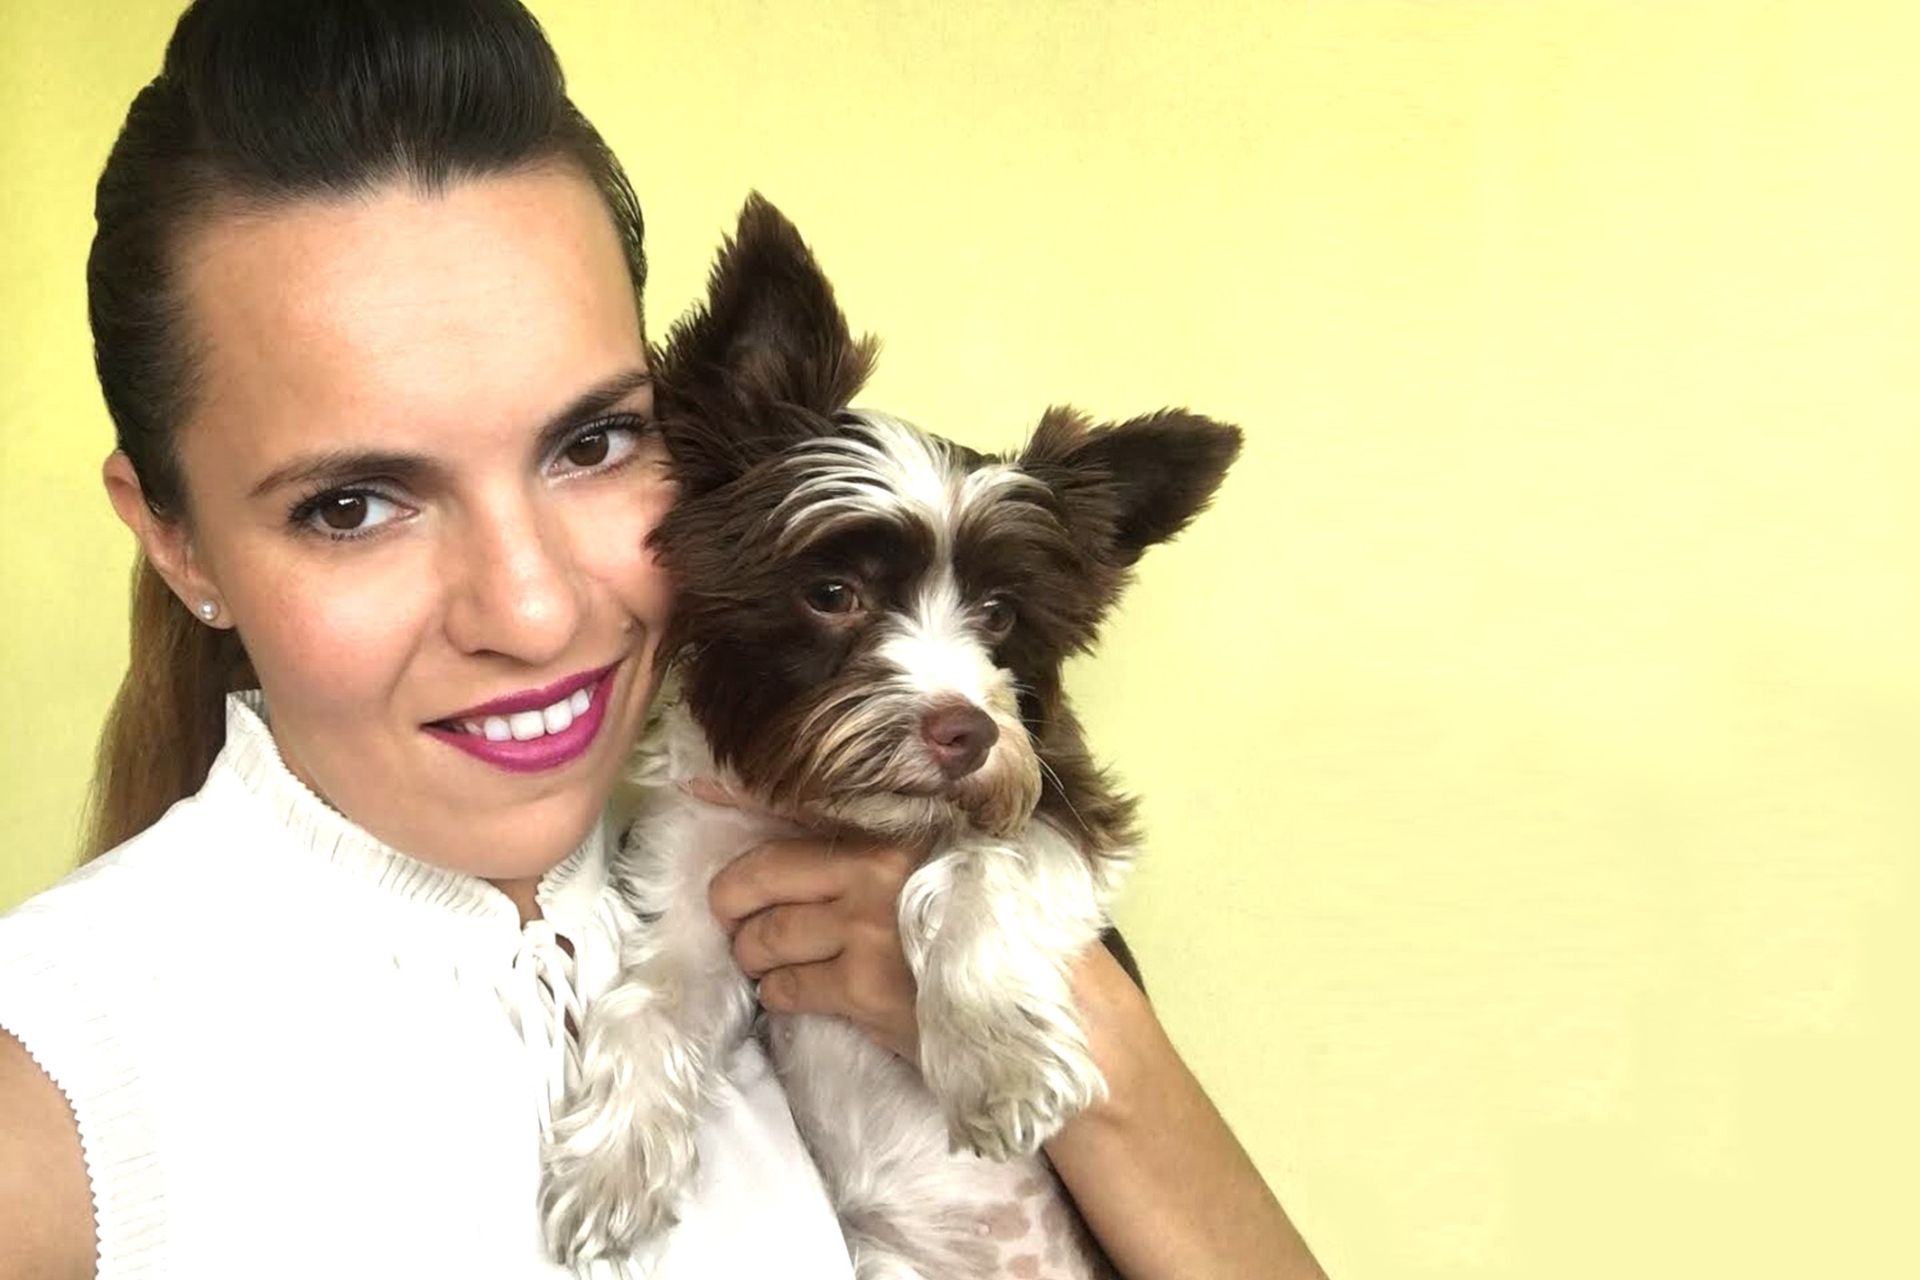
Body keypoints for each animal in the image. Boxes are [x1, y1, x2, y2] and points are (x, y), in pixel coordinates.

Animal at [539, 194, 1241, 1279]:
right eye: (833, 593)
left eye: (999, 613)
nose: (965, 732)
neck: (827, 814)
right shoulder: (695, 891)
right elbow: (651, 998)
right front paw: (612, 1161)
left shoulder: (1063, 804)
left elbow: (971, 868)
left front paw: (996, 1059)